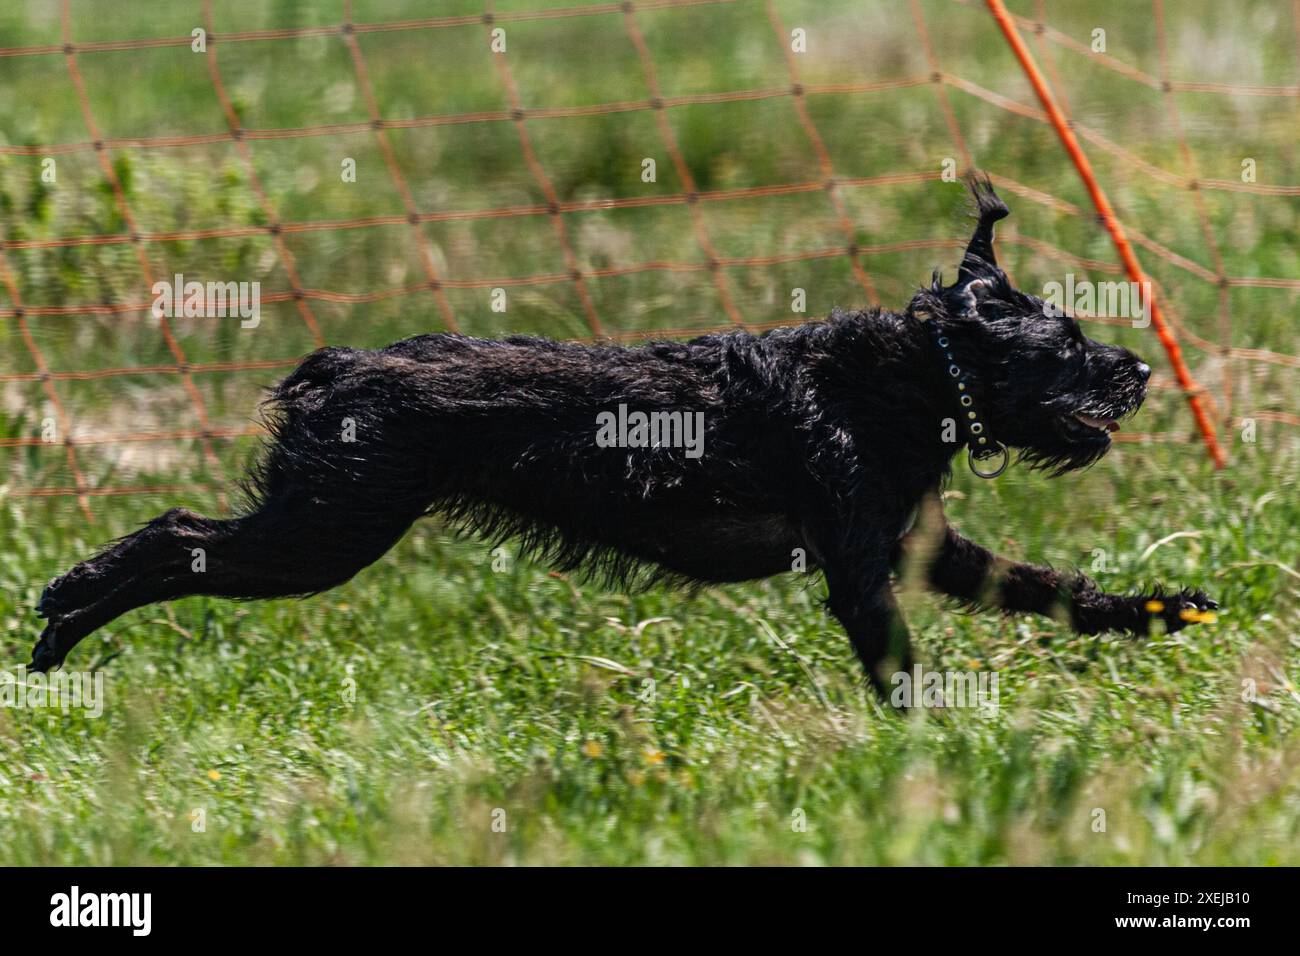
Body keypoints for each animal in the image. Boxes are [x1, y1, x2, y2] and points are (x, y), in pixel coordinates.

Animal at [32, 178, 1216, 697]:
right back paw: (59, 613)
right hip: (324, 532)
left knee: (181, 538)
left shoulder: (928, 546)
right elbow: (899, 654)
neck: (911, 375)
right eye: (1066, 340)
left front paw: (1156, 609)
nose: (1142, 368)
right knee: (172, 533)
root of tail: (342, 366)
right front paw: (932, 737)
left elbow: (1046, 584)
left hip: (321, 524)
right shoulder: (860, 564)